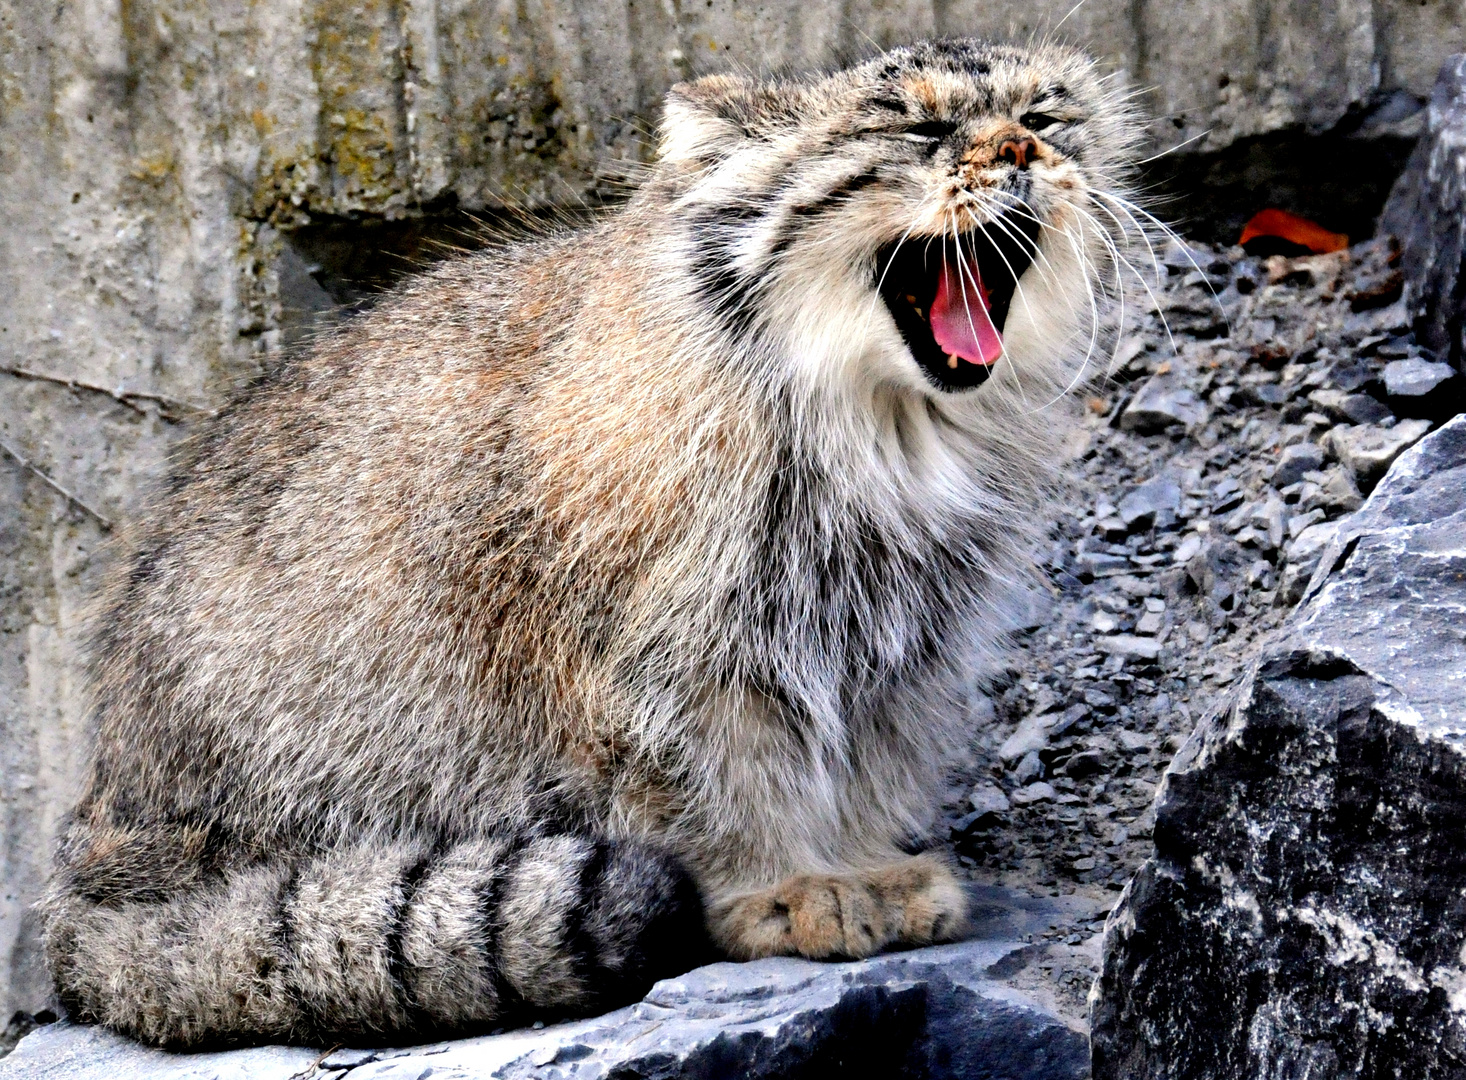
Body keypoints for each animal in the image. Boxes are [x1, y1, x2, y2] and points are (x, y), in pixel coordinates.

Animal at [42, 39, 1143, 1043]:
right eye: (916, 128)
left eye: (1043, 117)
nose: (1024, 152)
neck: (882, 425)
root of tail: (90, 871)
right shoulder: (661, 653)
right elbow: (720, 775)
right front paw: (785, 887)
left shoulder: (897, 631)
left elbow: (867, 752)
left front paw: (862, 859)